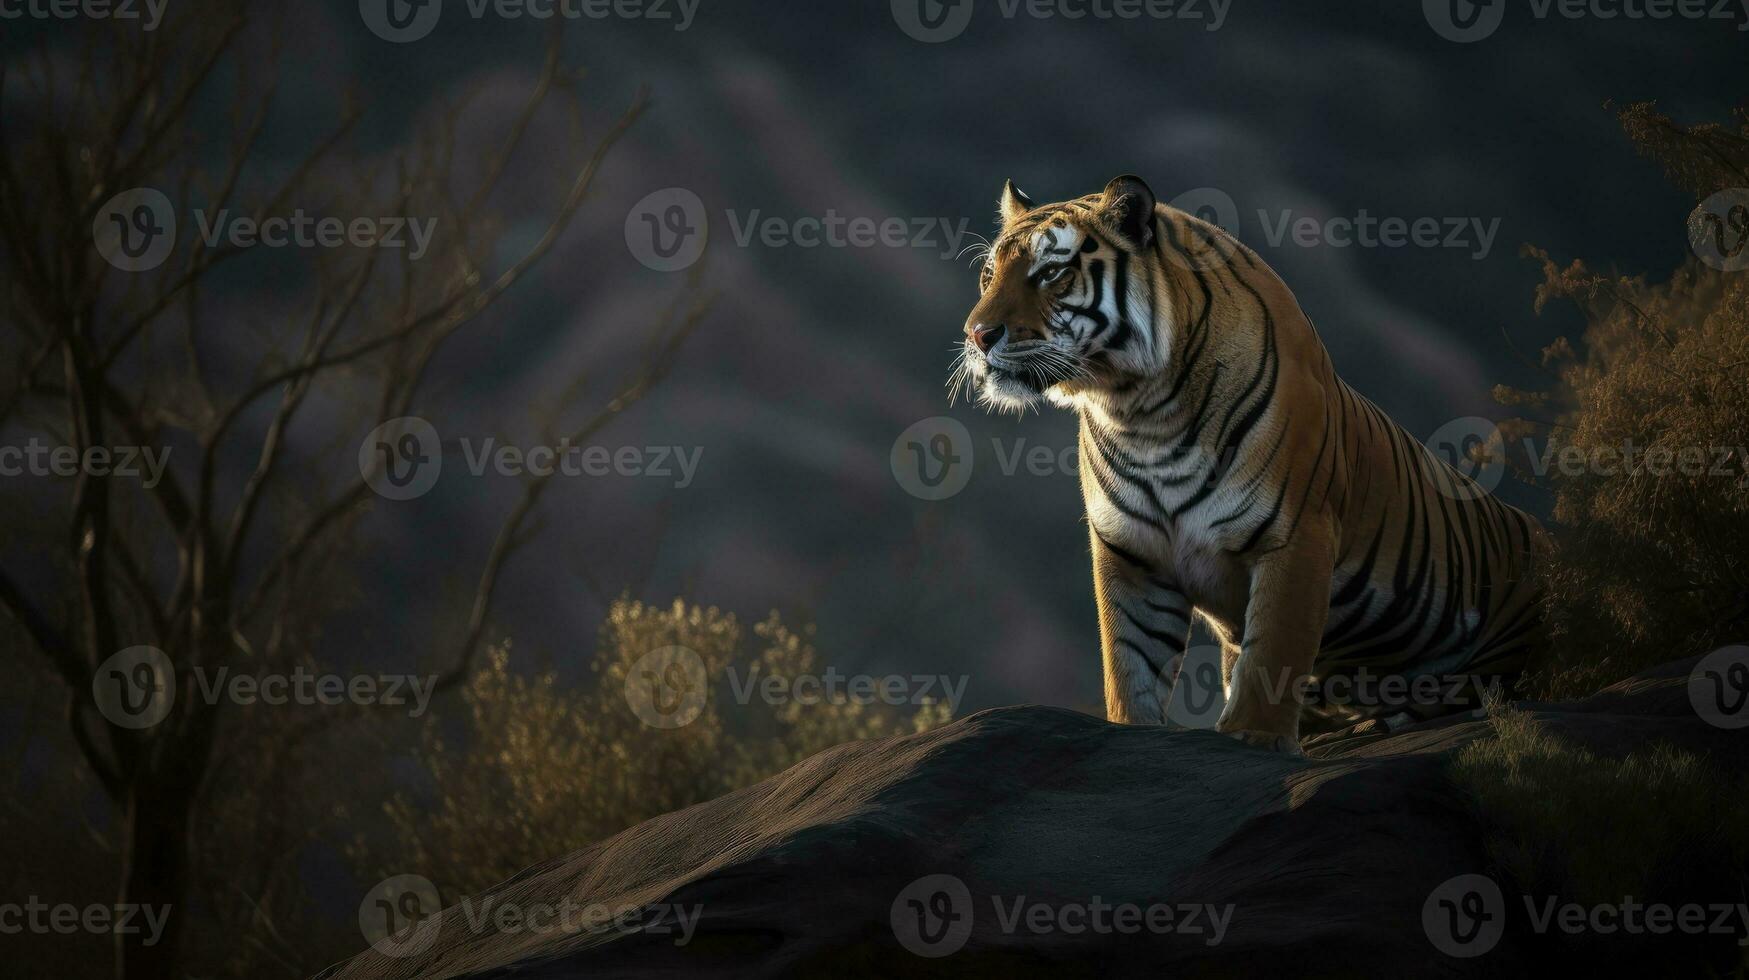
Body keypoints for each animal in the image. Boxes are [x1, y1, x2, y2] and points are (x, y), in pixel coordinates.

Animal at [958, 175, 1546, 752]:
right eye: (989, 274)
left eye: (1051, 273)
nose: (977, 336)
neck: (1138, 412)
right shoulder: (1128, 551)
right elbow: (1129, 661)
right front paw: (1131, 730)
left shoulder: (1295, 535)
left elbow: (1273, 651)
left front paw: (1254, 736)